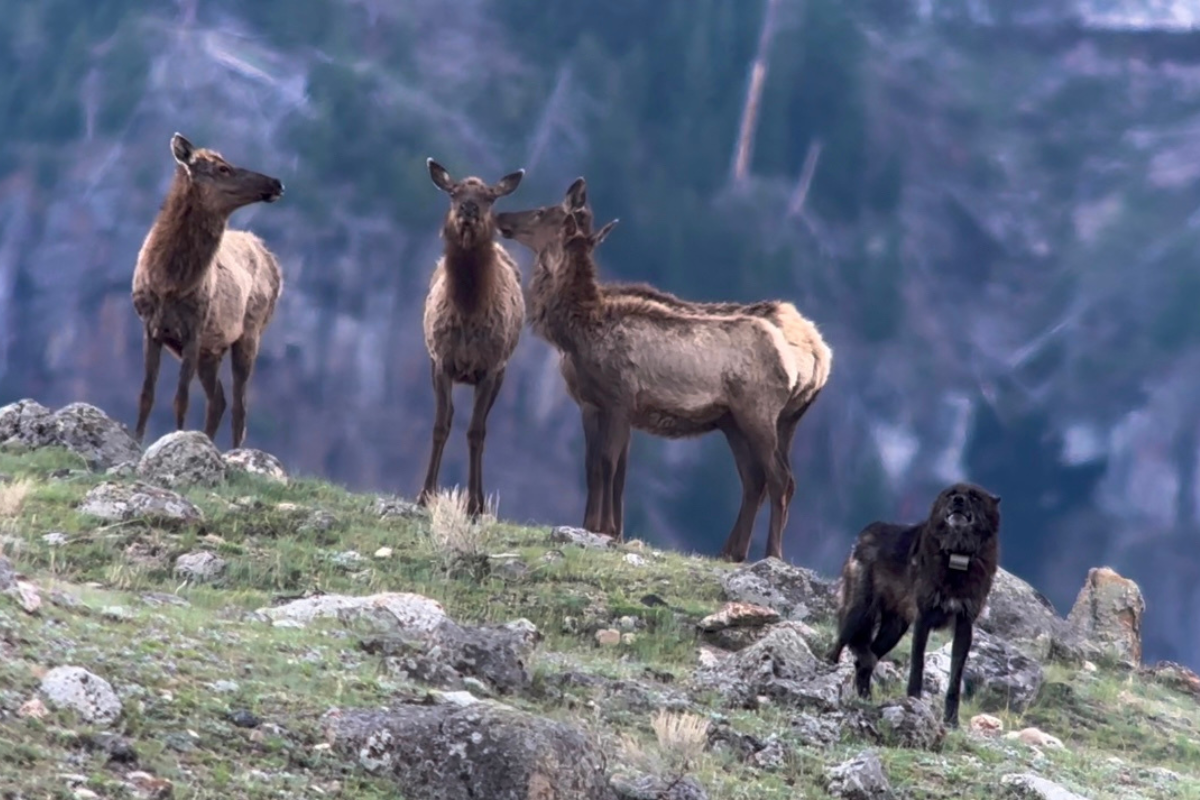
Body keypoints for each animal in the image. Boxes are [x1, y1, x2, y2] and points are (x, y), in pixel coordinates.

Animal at [129, 134, 285, 453]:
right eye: (223, 168)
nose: (276, 183)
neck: (170, 281)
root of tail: (273, 261)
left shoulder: (195, 329)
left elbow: (181, 398)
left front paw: (177, 438)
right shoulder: (151, 327)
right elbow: (146, 393)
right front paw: (137, 441)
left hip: (250, 332)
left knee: (239, 405)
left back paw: (235, 453)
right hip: (210, 352)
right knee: (219, 400)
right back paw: (211, 442)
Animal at [417, 158, 525, 520]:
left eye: (489, 197)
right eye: (453, 193)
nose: (468, 208)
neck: (467, 310)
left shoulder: (490, 367)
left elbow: (476, 432)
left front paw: (474, 505)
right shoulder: (441, 361)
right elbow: (440, 426)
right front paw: (424, 495)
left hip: (502, 372)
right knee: (450, 417)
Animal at [492, 179, 830, 563]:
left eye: (540, 212)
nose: (501, 216)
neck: (578, 331)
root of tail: (821, 355)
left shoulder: (621, 398)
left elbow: (608, 463)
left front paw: (604, 528)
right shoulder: (592, 404)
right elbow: (597, 466)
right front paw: (598, 526)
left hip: (758, 412)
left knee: (779, 479)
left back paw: (771, 554)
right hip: (752, 421)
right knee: (755, 478)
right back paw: (731, 552)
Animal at [825, 479, 1003, 729]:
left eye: (974, 496)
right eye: (951, 494)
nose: (958, 501)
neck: (957, 556)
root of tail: (864, 533)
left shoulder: (964, 626)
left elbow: (955, 680)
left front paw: (951, 721)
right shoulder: (923, 619)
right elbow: (917, 667)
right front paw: (914, 703)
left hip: (893, 631)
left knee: (865, 662)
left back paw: (866, 699)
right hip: (859, 613)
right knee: (840, 643)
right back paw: (828, 671)